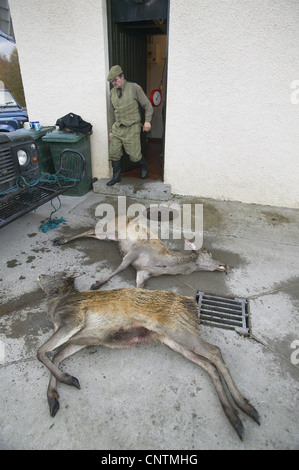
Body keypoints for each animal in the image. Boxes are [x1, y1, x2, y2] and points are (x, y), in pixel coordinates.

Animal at [37, 272, 260, 440]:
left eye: (55, 274)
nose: (39, 275)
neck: (57, 304)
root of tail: (192, 305)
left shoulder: (72, 320)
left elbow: (41, 352)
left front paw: (67, 380)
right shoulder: (82, 340)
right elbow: (55, 356)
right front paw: (54, 397)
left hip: (180, 330)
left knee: (215, 352)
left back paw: (246, 408)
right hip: (172, 340)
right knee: (208, 364)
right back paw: (236, 417)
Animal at [54, 214, 227, 290]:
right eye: (209, 253)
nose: (225, 265)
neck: (161, 264)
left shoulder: (143, 273)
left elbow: (139, 287)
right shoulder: (135, 251)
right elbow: (121, 268)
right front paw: (97, 284)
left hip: (111, 236)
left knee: (92, 233)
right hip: (110, 228)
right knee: (91, 229)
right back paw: (60, 240)